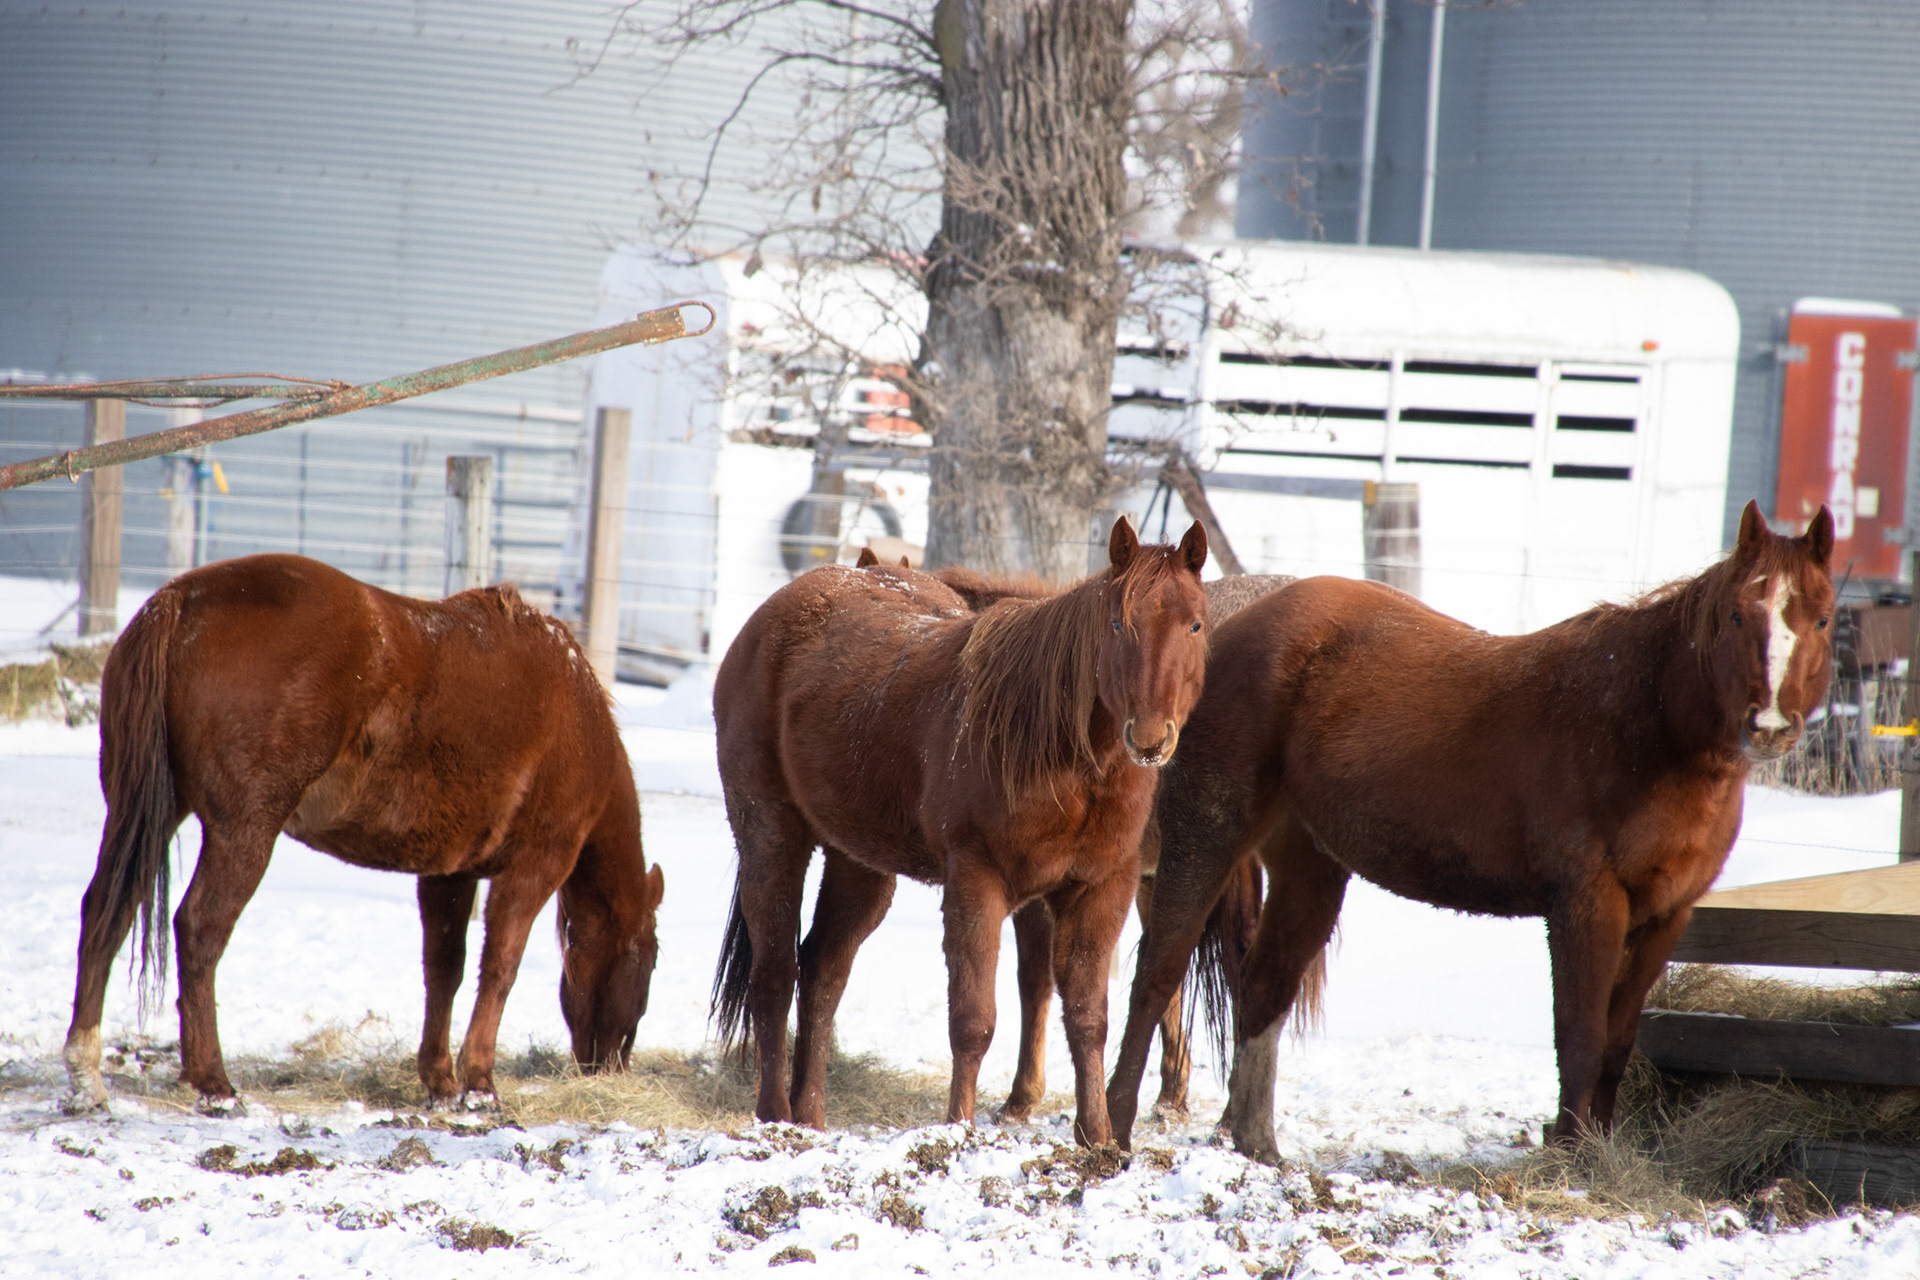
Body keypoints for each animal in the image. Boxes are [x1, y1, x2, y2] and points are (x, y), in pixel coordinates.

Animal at [63, 554, 665, 1115]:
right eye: (650, 959)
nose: (612, 1064)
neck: (574, 716)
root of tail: (181, 600)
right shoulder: (532, 869)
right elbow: (499, 968)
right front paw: (479, 1085)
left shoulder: (448, 872)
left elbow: (444, 970)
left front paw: (440, 1081)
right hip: (244, 832)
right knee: (199, 929)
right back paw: (213, 1082)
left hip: (143, 812)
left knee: (106, 910)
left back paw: (85, 1077)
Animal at [711, 518, 1209, 1144]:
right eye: (1119, 624)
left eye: (1195, 623)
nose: (1149, 738)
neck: (1056, 748)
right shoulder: (978, 880)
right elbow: (974, 1019)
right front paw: (958, 1130)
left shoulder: (1102, 889)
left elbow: (1088, 1018)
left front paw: (1098, 1140)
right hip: (770, 836)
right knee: (775, 973)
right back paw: (777, 1116)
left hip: (860, 864)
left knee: (822, 972)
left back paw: (811, 1118)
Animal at [1106, 501, 1835, 1159]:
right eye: (1738, 614)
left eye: (1822, 617)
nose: (1770, 725)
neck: (1643, 720)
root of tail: (1227, 627)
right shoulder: (1586, 905)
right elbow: (1580, 1037)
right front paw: (1569, 1159)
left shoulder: (1664, 916)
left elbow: (1617, 1042)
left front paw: (1595, 1153)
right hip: (1205, 839)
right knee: (1157, 975)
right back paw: (1113, 1129)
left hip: (1309, 869)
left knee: (1262, 989)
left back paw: (1257, 1145)